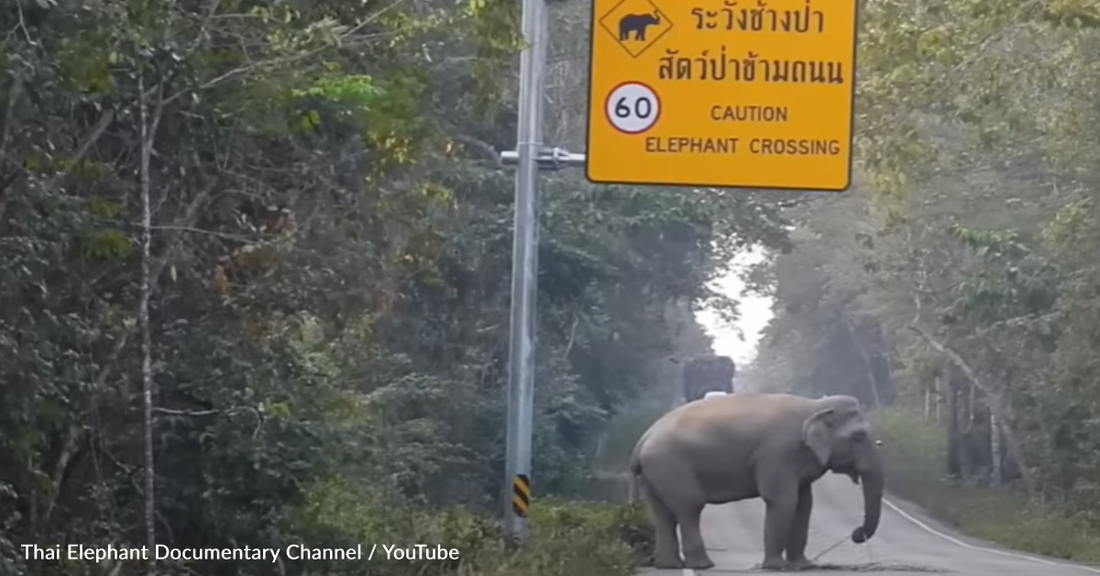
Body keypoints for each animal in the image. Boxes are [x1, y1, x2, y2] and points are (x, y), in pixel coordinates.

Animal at [629, 393, 884, 567]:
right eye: (858, 437)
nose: (857, 533)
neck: (815, 406)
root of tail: (642, 440)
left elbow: (804, 503)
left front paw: (802, 565)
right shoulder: (777, 452)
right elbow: (782, 500)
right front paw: (776, 567)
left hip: (655, 471)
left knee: (662, 514)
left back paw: (668, 565)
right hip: (670, 464)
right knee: (689, 507)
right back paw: (703, 565)